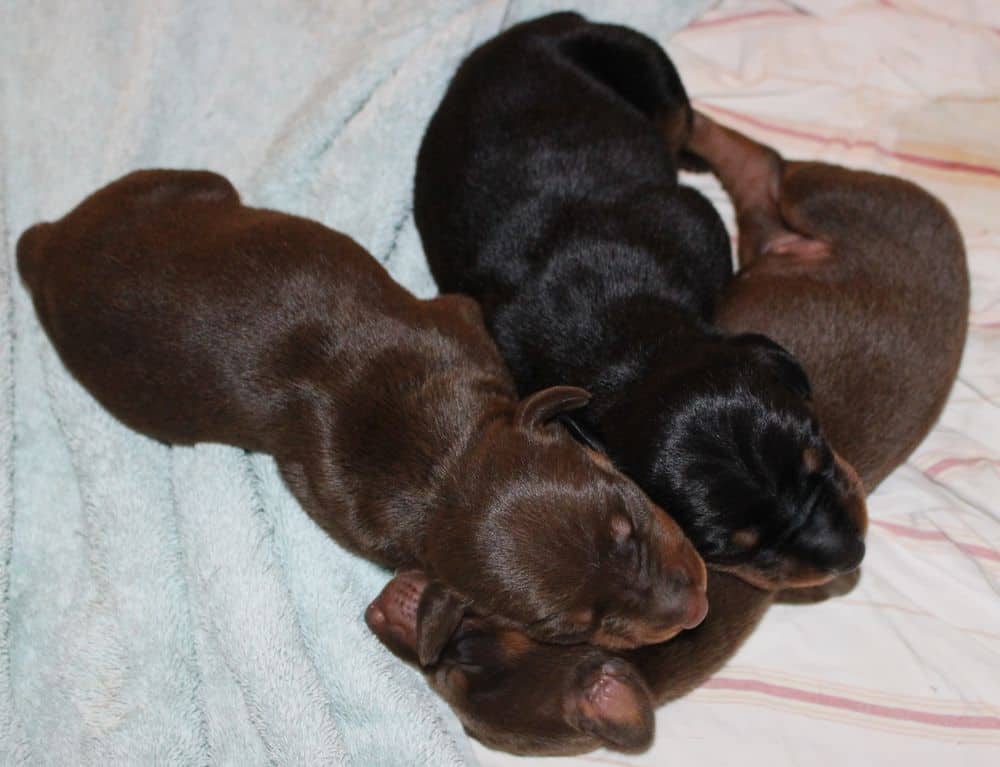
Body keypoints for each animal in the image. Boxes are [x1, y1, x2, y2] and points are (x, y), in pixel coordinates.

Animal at [15, 171, 708, 664]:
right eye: (570, 627)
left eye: (625, 519)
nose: (694, 607)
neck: (438, 463)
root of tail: (46, 245)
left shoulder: (457, 323)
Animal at [368, 117, 968, 752]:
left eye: (452, 670)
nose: (853, 556)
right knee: (761, 186)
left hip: (828, 200)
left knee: (770, 164)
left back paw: (698, 129)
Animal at [414, 12, 868, 592]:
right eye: (731, 545)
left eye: (818, 451)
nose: (850, 553)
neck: (627, 337)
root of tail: (534, 25)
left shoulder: (698, 225)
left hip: (646, 65)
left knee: (681, 122)